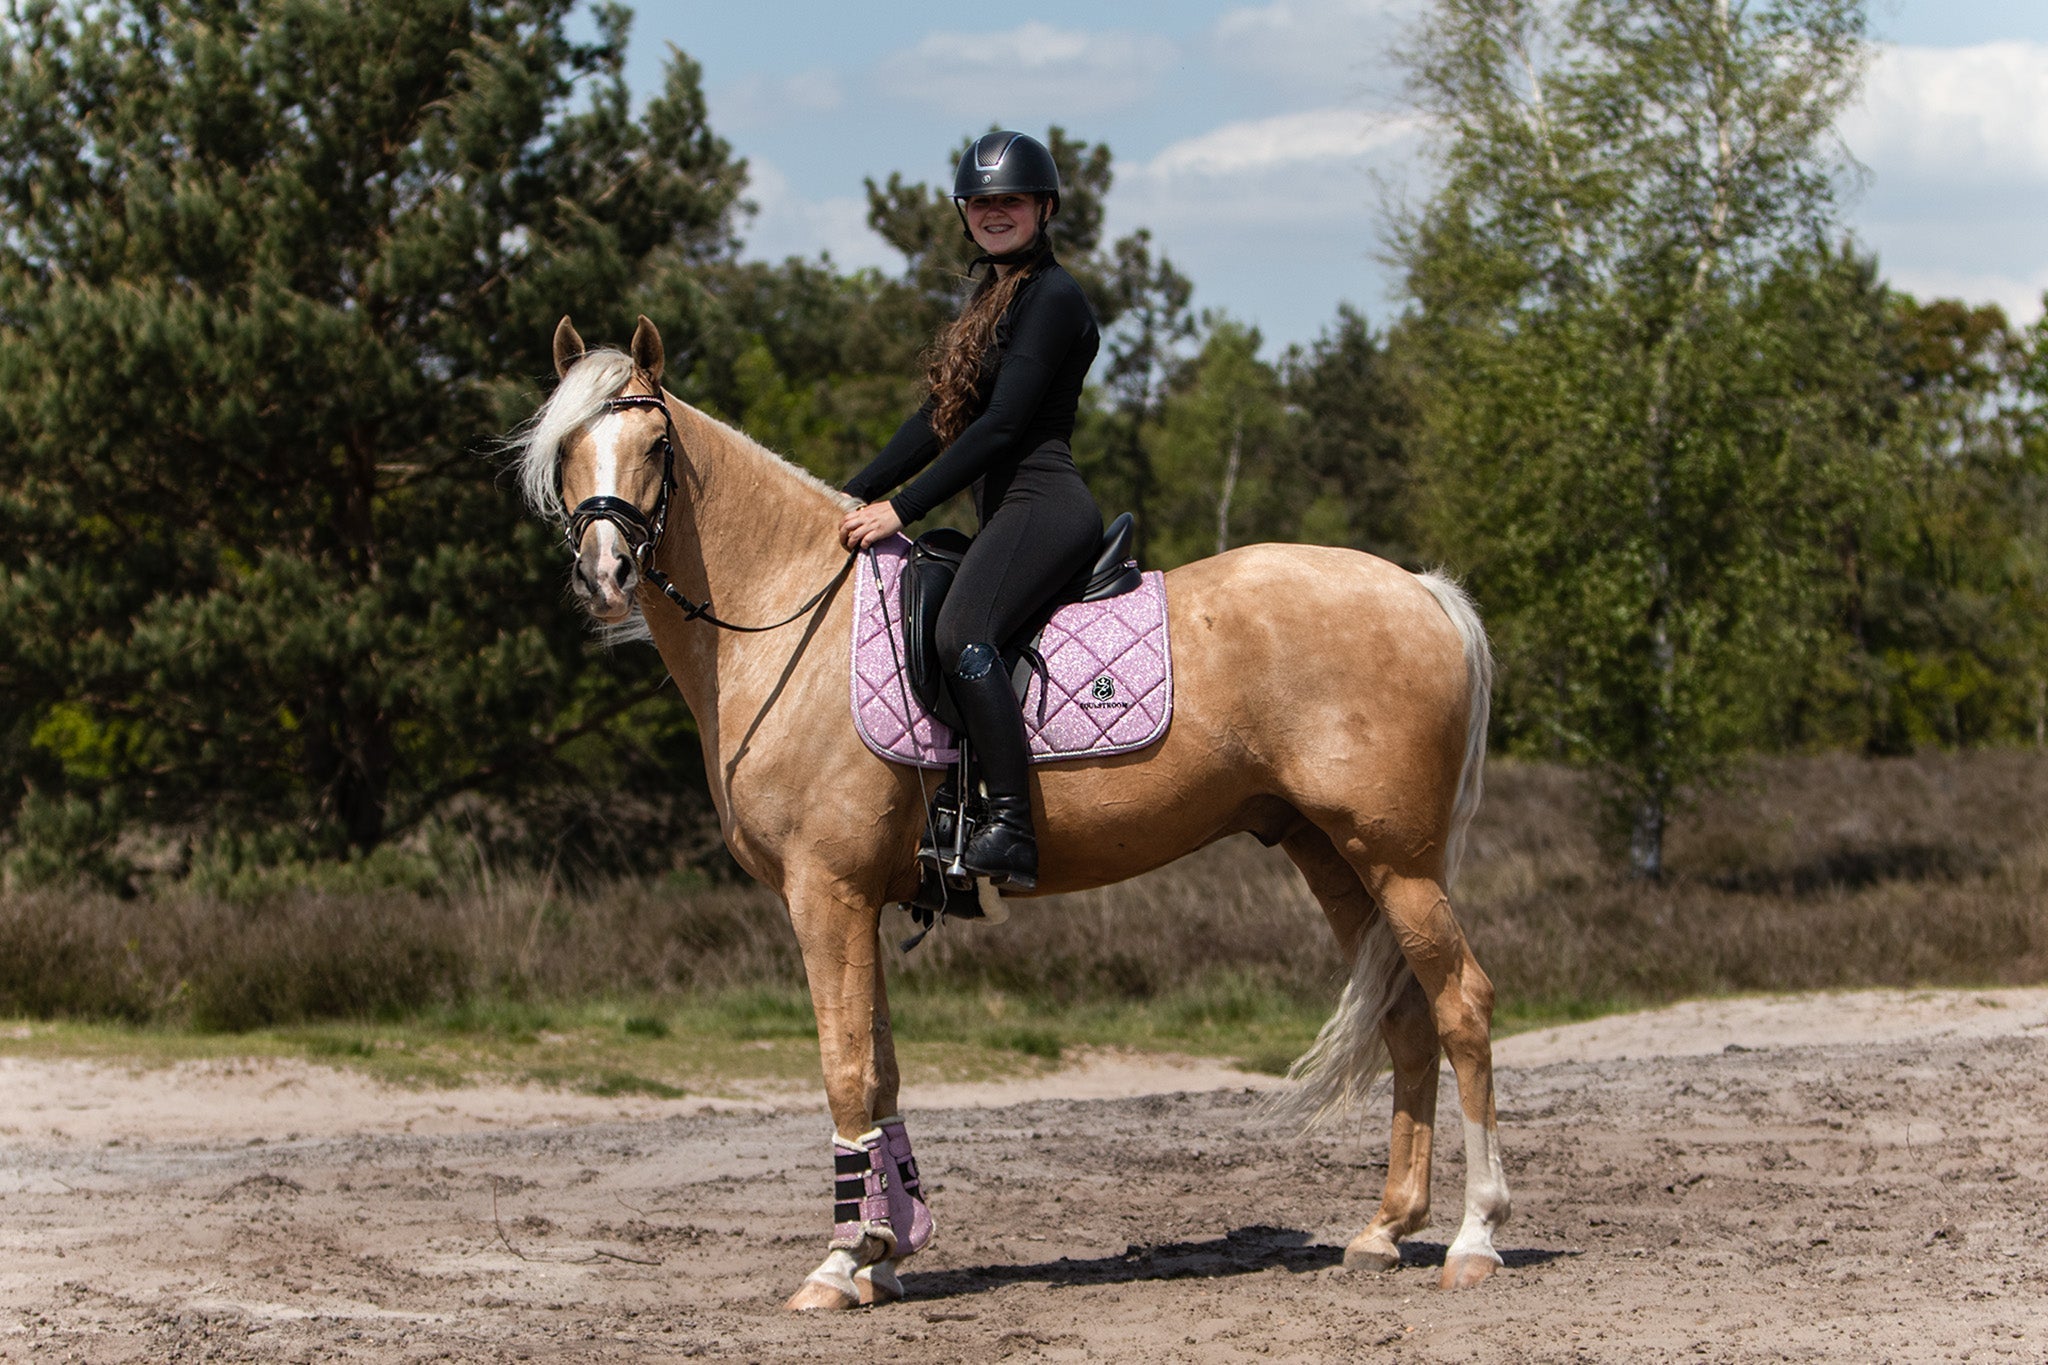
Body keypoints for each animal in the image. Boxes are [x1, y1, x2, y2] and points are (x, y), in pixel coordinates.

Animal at [512, 321, 1507, 1309]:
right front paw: (890, 1244)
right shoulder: (863, 900)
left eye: (657, 445)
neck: (791, 622)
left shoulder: (825, 893)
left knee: (1463, 1005)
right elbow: (882, 1069)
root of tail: (1422, 590)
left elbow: (844, 1067)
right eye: (566, 448)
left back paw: (1475, 1237)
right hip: (1331, 854)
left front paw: (840, 1261)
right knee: (1407, 1017)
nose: (605, 574)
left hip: (1399, 861)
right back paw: (1385, 1229)